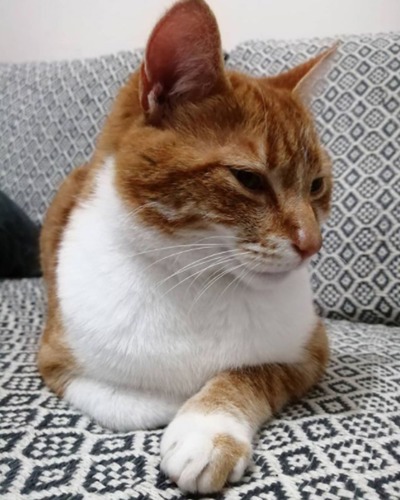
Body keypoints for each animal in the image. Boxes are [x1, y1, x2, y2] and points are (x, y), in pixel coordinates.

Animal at [39, 0, 334, 492]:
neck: (199, 280)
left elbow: (253, 371)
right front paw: (173, 403)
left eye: (316, 186)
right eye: (248, 178)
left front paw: (207, 428)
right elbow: (130, 405)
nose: (312, 244)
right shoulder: (55, 362)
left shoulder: (310, 350)